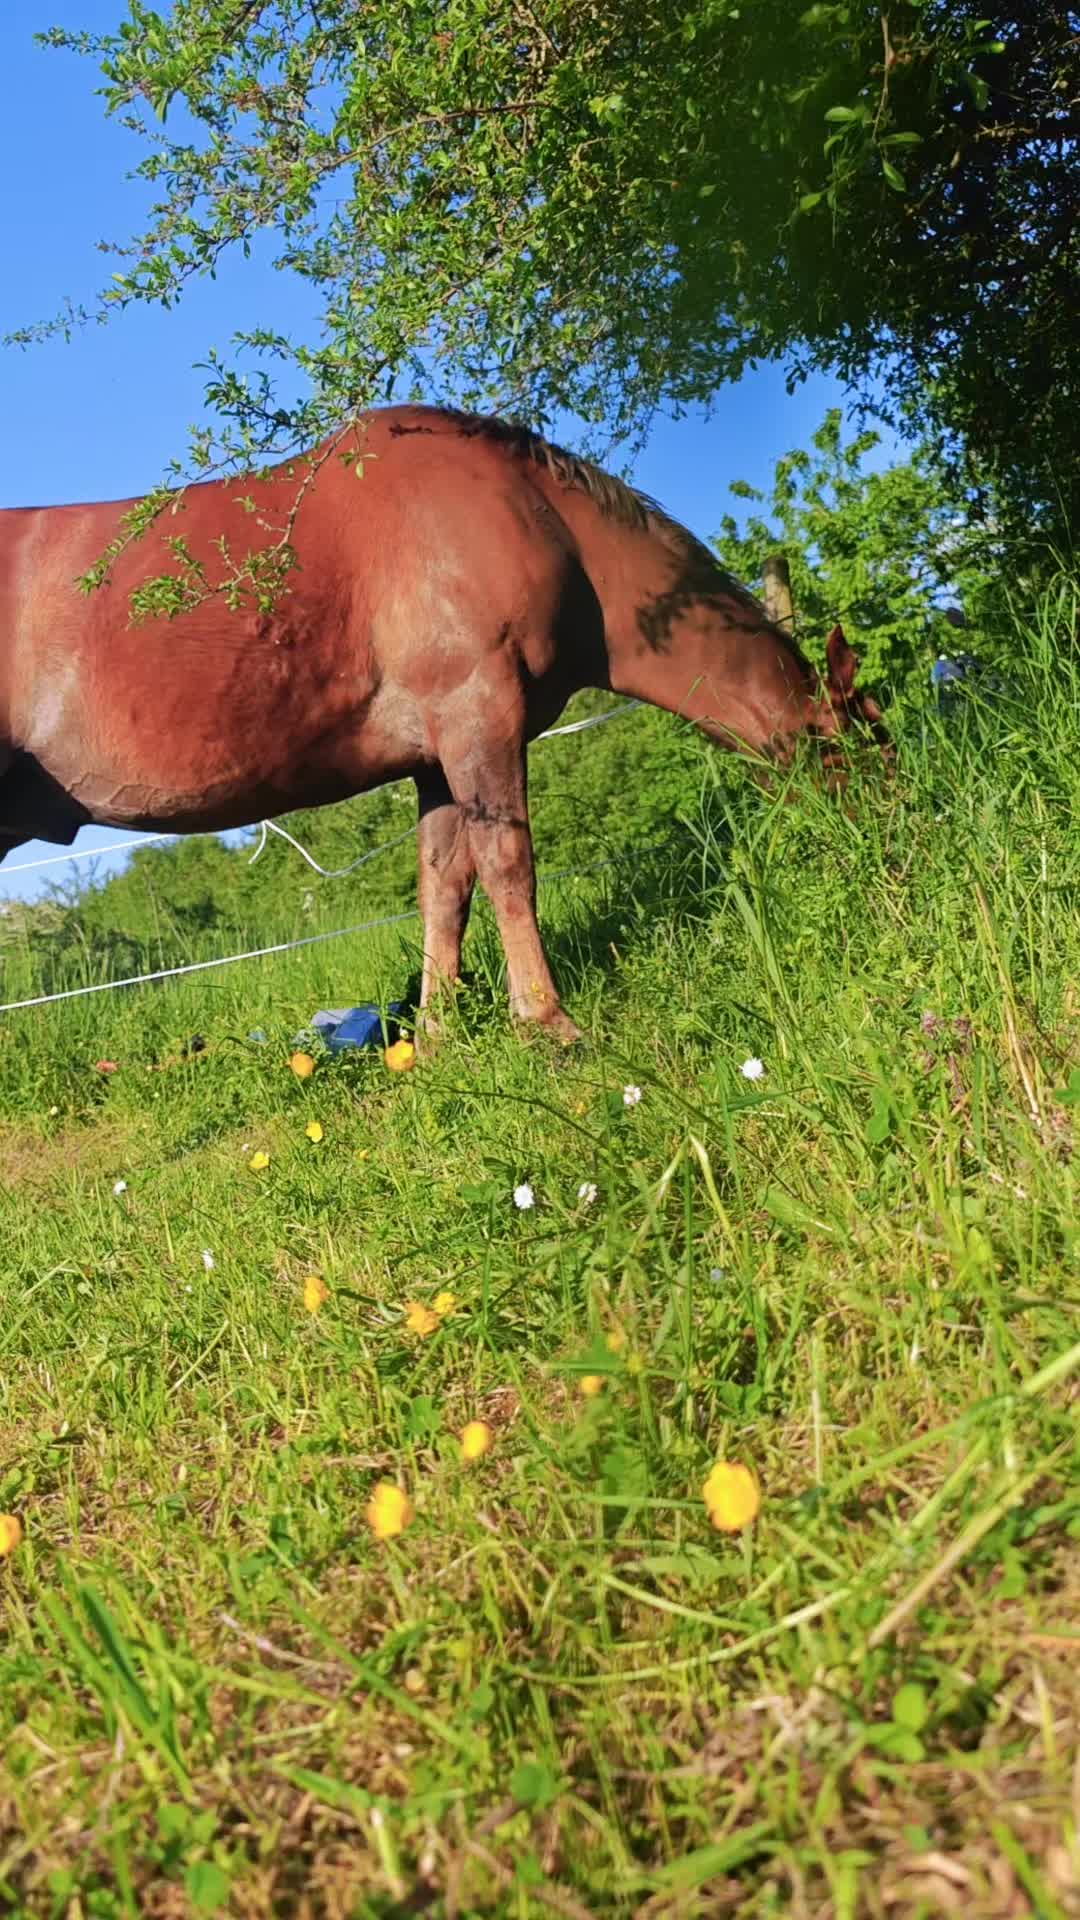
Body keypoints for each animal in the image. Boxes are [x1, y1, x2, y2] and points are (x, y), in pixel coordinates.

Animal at [0, 405, 885, 1040]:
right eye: (860, 755)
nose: (889, 858)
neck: (538, 518)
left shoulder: (434, 757)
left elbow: (445, 885)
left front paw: (437, 1036)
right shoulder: (478, 716)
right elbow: (507, 864)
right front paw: (548, 1023)